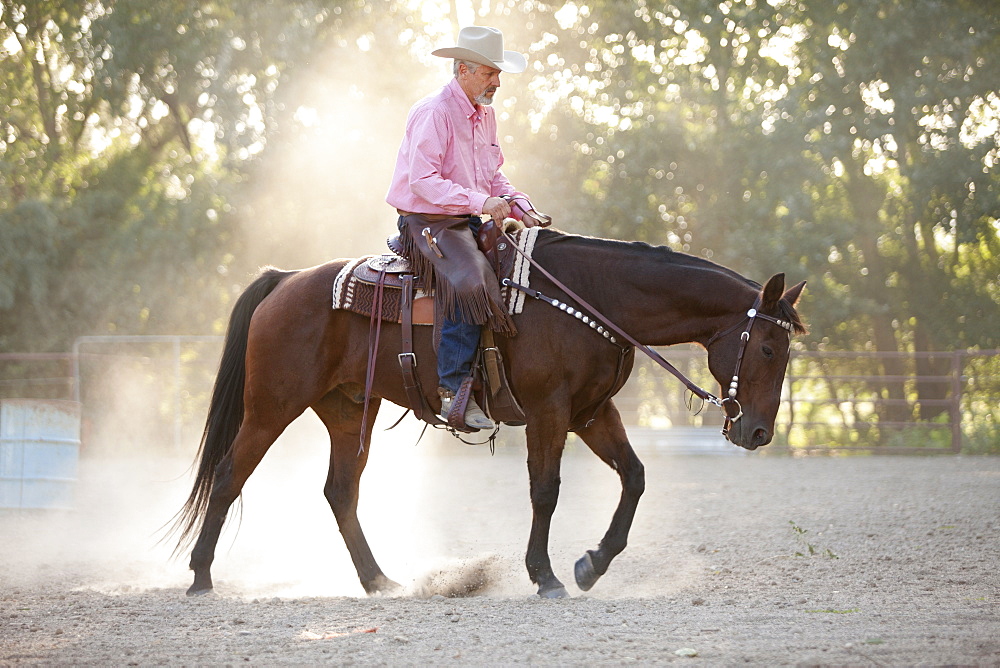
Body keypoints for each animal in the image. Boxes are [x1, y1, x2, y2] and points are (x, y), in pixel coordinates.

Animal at [172, 227, 804, 596]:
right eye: (769, 349)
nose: (757, 431)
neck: (592, 296)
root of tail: (285, 280)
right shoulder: (550, 410)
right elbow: (545, 490)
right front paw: (546, 576)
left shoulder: (591, 411)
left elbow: (635, 476)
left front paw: (592, 564)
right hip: (272, 405)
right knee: (229, 475)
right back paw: (200, 576)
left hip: (351, 409)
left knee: (340, 491)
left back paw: (379, 580)